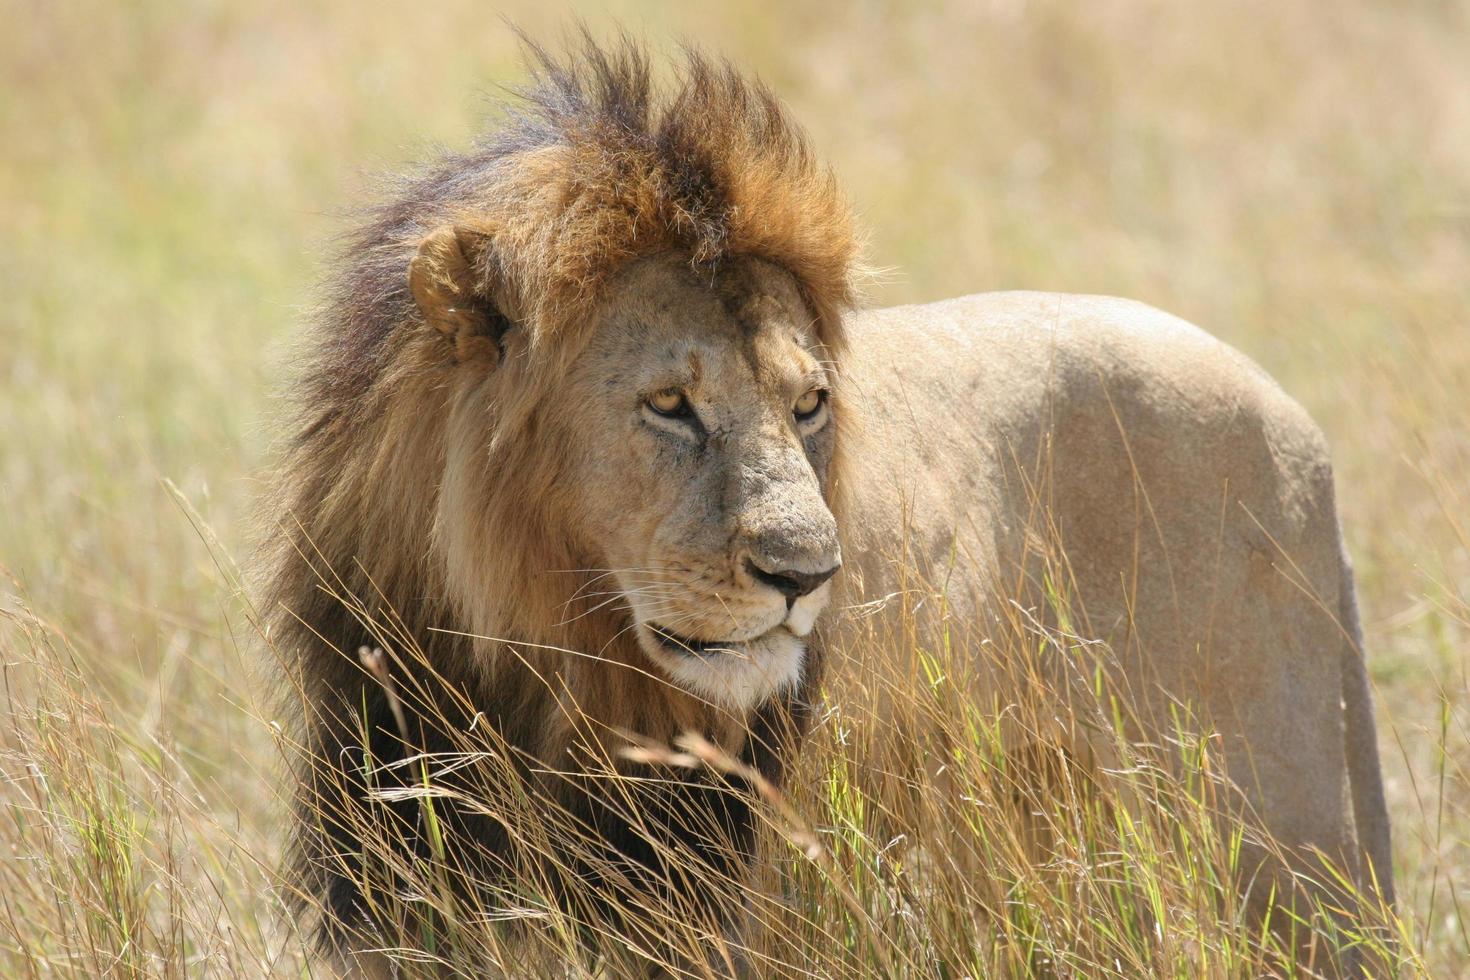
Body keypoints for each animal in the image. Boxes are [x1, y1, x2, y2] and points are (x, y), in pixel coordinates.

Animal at [264, 36, 1387, 975]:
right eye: (670, 404)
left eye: (809, 403)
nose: (808, 575)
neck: (539, 668)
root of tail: (1296, 422)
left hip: (1280, 849)